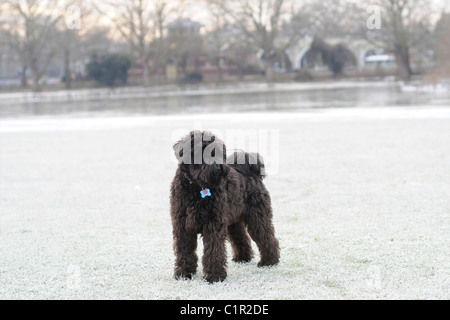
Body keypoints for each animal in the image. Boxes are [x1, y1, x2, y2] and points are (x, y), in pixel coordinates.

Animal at [171, 130, 280, 282]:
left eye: (217, 152)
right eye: (200, 150)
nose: (219, 168)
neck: (196, 188)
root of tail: (252, 172)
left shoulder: (213, 225)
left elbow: (214, 251)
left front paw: (215, 276)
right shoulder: (182, 226)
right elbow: (184, 251)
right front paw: (184, 274)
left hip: (258, 218)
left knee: (267, 237)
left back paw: (269, 262)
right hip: (234, 223)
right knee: (242, 238)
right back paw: (242, 258)